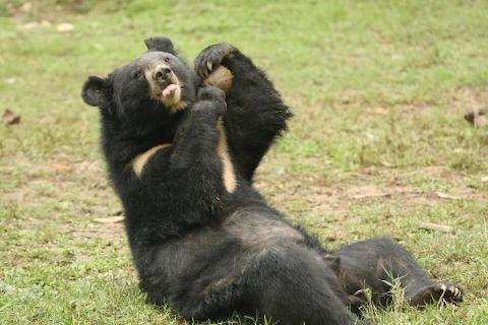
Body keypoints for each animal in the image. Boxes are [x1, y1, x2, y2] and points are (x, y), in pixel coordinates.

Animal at [82, 36, 464, 322]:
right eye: (137, 75)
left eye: (166, 59)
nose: (163, 75)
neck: (167, 125)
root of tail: (344, 285)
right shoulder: (140, 169)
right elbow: (187, 188)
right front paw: (206, 98)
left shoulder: (234, 146)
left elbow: (259, 118)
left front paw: (216, 56)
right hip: (225, 288)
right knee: (292, 279)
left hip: (347, 261)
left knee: (384, 251)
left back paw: (436, 292)